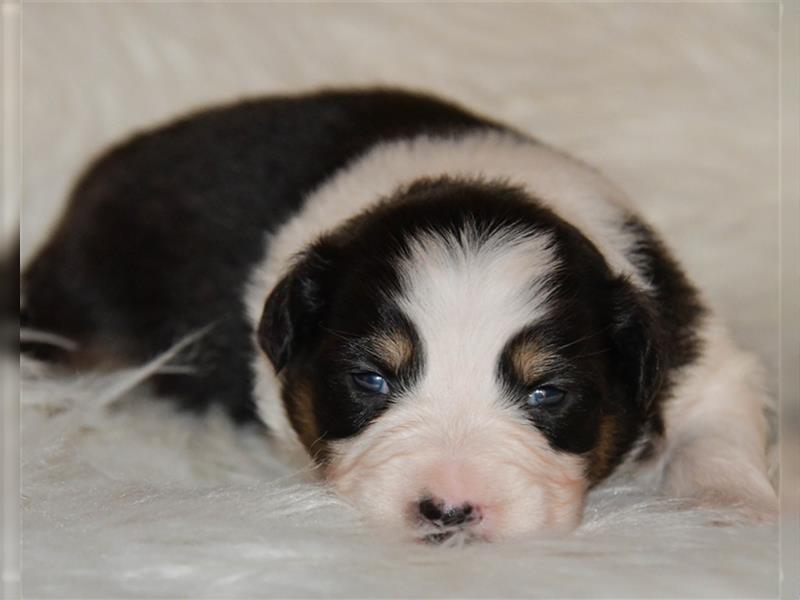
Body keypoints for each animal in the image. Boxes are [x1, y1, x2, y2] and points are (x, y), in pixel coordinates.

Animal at [21, 89, 780, 544]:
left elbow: (718, 426)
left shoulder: (689, 343)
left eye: (547, 392)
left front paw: (726, 509)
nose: (447, 512)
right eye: (372, 381)